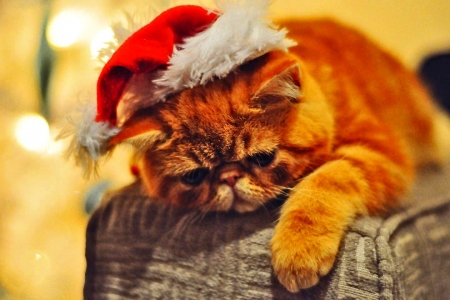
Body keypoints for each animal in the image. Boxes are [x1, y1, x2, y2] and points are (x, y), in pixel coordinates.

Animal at [103, 17, 450, 292]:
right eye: (195, 176)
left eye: (262, 158)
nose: (229, 177)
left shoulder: (378, 150)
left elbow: (324, 182)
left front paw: (300, 245)